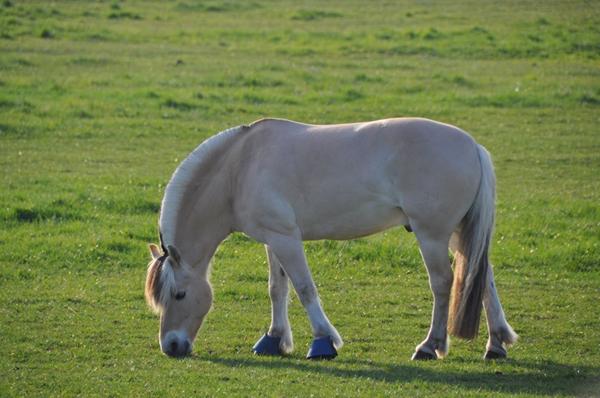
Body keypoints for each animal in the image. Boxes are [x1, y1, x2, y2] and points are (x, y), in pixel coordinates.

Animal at [145, 116, 516, 360]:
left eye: (179, 294)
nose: (171, 347)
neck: (239, 170)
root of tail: (473, 147)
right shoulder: (273, 240)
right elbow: (277, 289)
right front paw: (274, 339)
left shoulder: (286, 239)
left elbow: (305, 289)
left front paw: (323, 341)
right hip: (459, 234)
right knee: (481, 277)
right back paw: (496, 344)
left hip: (433, 236)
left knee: (443, 283)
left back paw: (430, 345)